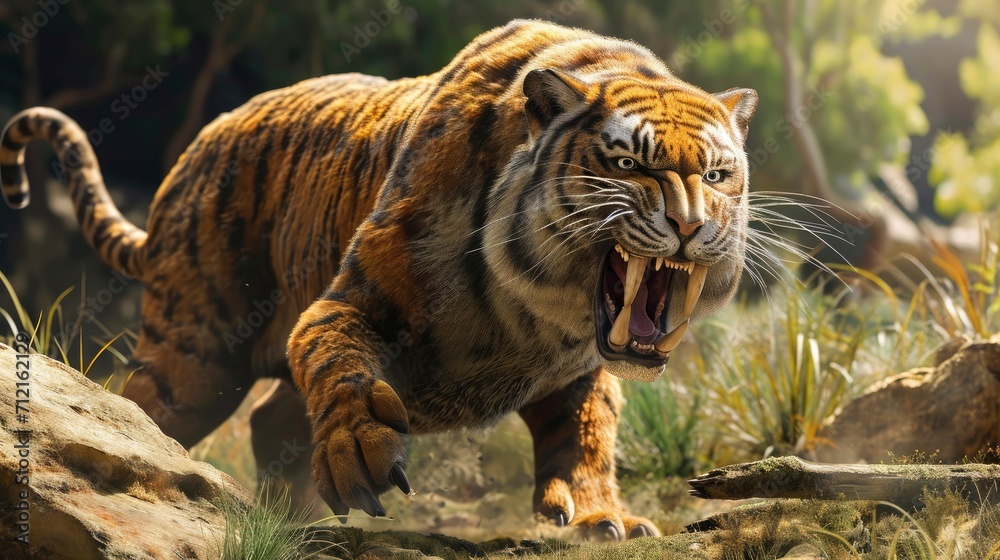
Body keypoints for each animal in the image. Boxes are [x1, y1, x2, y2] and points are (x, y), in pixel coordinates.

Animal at [0, 20, 756, 540]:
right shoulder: (352, 302)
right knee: (144, 412)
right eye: (630, 165)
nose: (693, 225)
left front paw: (602, 517)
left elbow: (590, 433)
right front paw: (359, 453)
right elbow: (342, 366)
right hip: (194, 360)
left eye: (719, 173)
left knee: (271, 419)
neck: (544, 315)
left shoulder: (579, 370)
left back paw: (295, 519)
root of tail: (186, 161)